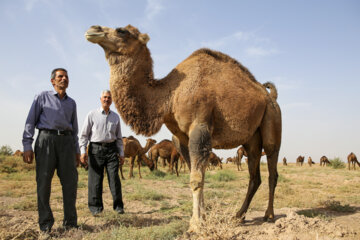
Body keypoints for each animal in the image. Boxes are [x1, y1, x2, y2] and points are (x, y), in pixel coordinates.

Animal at [86, 24, 282, 231]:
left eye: (121, 31)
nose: (93, 29)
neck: (170, 95)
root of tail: (270, 97)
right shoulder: (180, 138)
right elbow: (197, 175)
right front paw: (202, 218)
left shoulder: (199, 128)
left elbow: (196, 178)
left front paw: (196, 224)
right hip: (251, 139)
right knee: (254, 175)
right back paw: (239, 216)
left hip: (272, 118)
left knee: (272, 167)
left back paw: (269, 215)